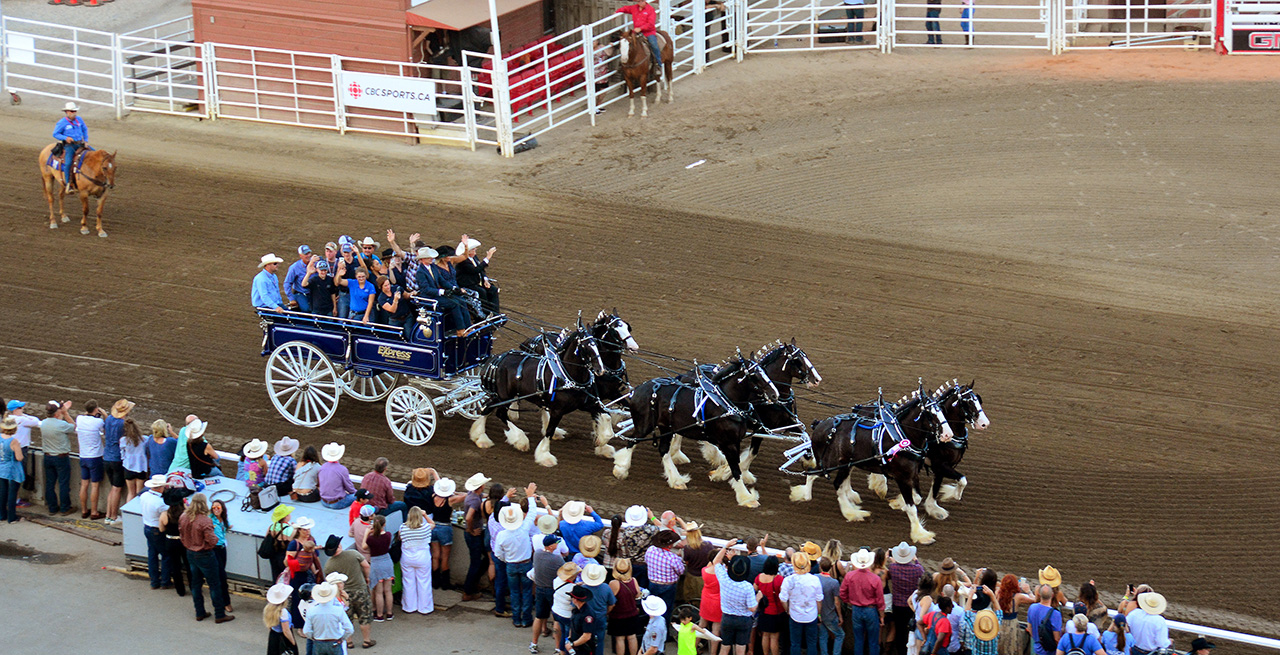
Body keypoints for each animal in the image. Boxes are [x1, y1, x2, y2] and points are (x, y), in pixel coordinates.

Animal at [471, 326, 609, 468]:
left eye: (596, 344)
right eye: (585, 347)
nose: (601, 370)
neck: (566, 376)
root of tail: (495, 359)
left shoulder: (585, 404)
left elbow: (606, 415)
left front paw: (602, 443)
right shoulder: (558, 410)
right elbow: (549, 431)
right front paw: (545, 456)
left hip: (500, 396)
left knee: (486, 407)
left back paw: (480, 437)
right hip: (505, 397)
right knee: (500, 413)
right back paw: (520, 440)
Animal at [611, 355, 778, 509]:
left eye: (764, 371)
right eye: (754, 375)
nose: (775, 394)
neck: (726, 404)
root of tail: (637, 389)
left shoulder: (734, 441)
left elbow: (736, 464)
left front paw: (721, 475)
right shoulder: (728, 442)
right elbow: (736, 469)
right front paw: (746, 498)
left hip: (666, 428)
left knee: (663, 450)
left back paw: (676, 480)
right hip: (644, 425)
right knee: (632, 441)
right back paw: (621, 469)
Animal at [921, 381, 988, 519]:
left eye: (978, 399)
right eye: (969, 402)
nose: (985, 423)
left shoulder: (943, 467)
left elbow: (937, 485)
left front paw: (933, 507)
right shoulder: (939, 464)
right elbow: (962, 479)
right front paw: (954, 494)